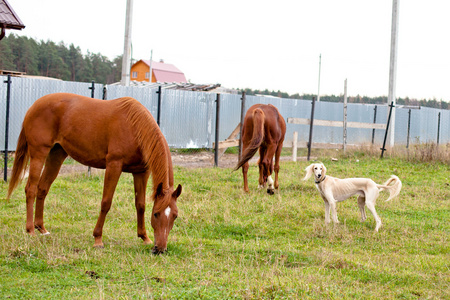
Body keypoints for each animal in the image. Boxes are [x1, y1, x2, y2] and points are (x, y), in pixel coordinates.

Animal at [6, 92, 181, 254]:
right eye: (156, 214)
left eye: (175, 216)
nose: (160, 249)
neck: (135, 127)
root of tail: (34, 106)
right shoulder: (114, 165)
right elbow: (106, 202)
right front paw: (98, 239)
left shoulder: (141, 172)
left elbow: (141, 205)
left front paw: (144, 237)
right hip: (39, 153)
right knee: (31, 189)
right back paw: (30, 230)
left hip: (56, 154)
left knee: (42, 188)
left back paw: (41, 228)